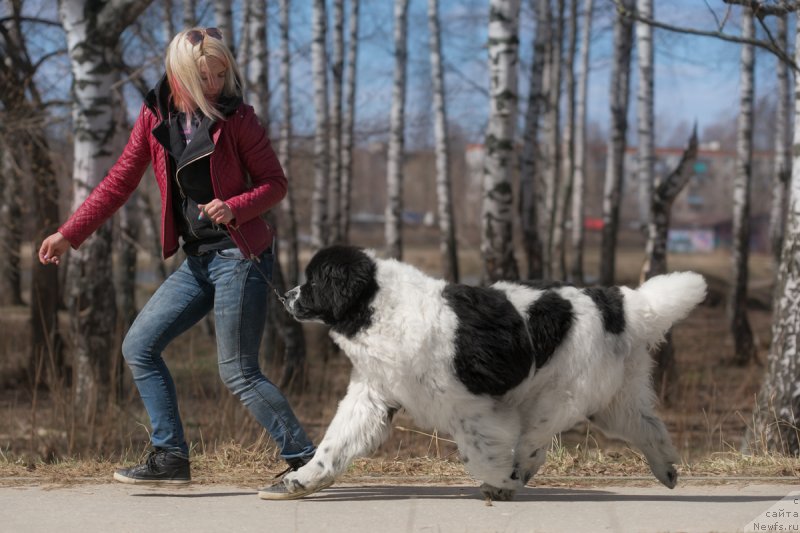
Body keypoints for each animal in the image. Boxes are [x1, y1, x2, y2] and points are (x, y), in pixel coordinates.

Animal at [276, 245, 708, 498]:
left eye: (313, 280)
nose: (286, 295)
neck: (377, 306)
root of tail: (614, 302)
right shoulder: (372, 396)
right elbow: (335, 443)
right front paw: (303, 478)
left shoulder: (471, 408)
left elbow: (478, 453)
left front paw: (499, 479)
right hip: (612, 398)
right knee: (647, 426)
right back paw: (666, 469)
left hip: (560, 395)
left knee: (534, 442)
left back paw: (514, 479)